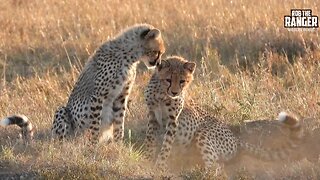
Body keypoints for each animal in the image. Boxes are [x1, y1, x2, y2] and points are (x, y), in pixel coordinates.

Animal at [2, 23, 166, 144]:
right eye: (157, 52)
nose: (158, 63)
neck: (129, 55)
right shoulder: (98, 96)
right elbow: (94, 125)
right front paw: (92, 148)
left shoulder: (121, 97)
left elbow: (120, 124)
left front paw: (118, 147)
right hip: (62, 114)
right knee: (62, 140)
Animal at [144, 56, 304, 173]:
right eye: (168, 79)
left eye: (182, 81)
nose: (175, 92)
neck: (161, 93)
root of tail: (236, 139)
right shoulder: (152, 116)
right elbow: (150, 140)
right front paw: (148, 160)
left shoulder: (173, 121)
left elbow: (166, 145)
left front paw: (159, 165)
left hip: (203, 134)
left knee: (217, 168)